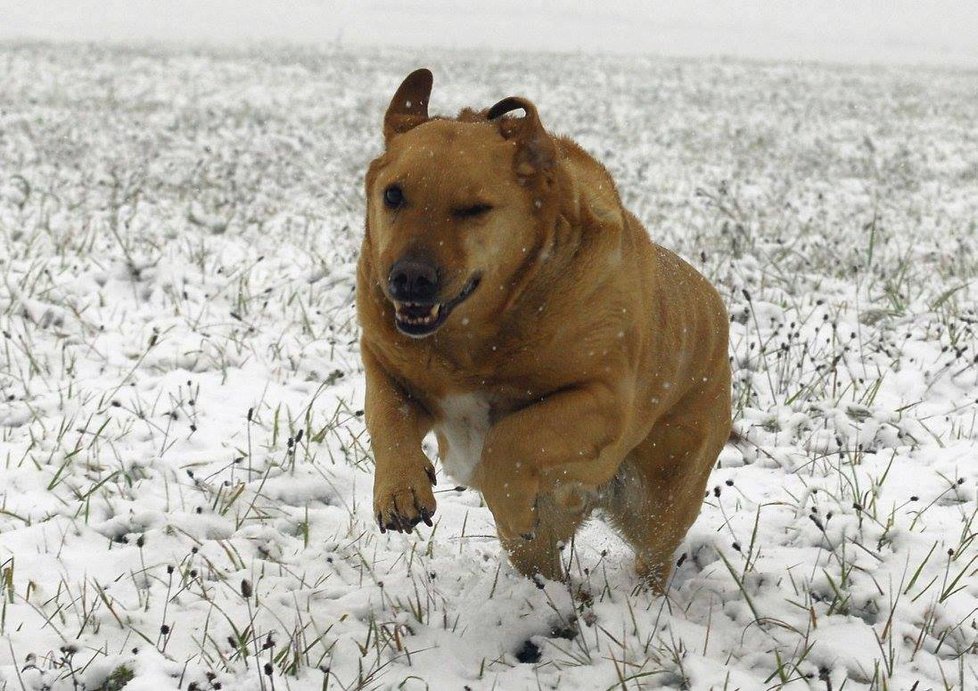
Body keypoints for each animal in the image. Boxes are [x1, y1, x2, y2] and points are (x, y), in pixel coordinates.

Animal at [354, 69, 728, 588]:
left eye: (475, 209)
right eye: (393, 194)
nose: (409, 277)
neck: (473, 336)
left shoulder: (604, 398)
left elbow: (512, 437)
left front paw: (511, 504)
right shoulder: (383, 353)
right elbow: (386, 412)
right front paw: (400, 492)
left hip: (663, 495)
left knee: (653, 553)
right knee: (542, 560)